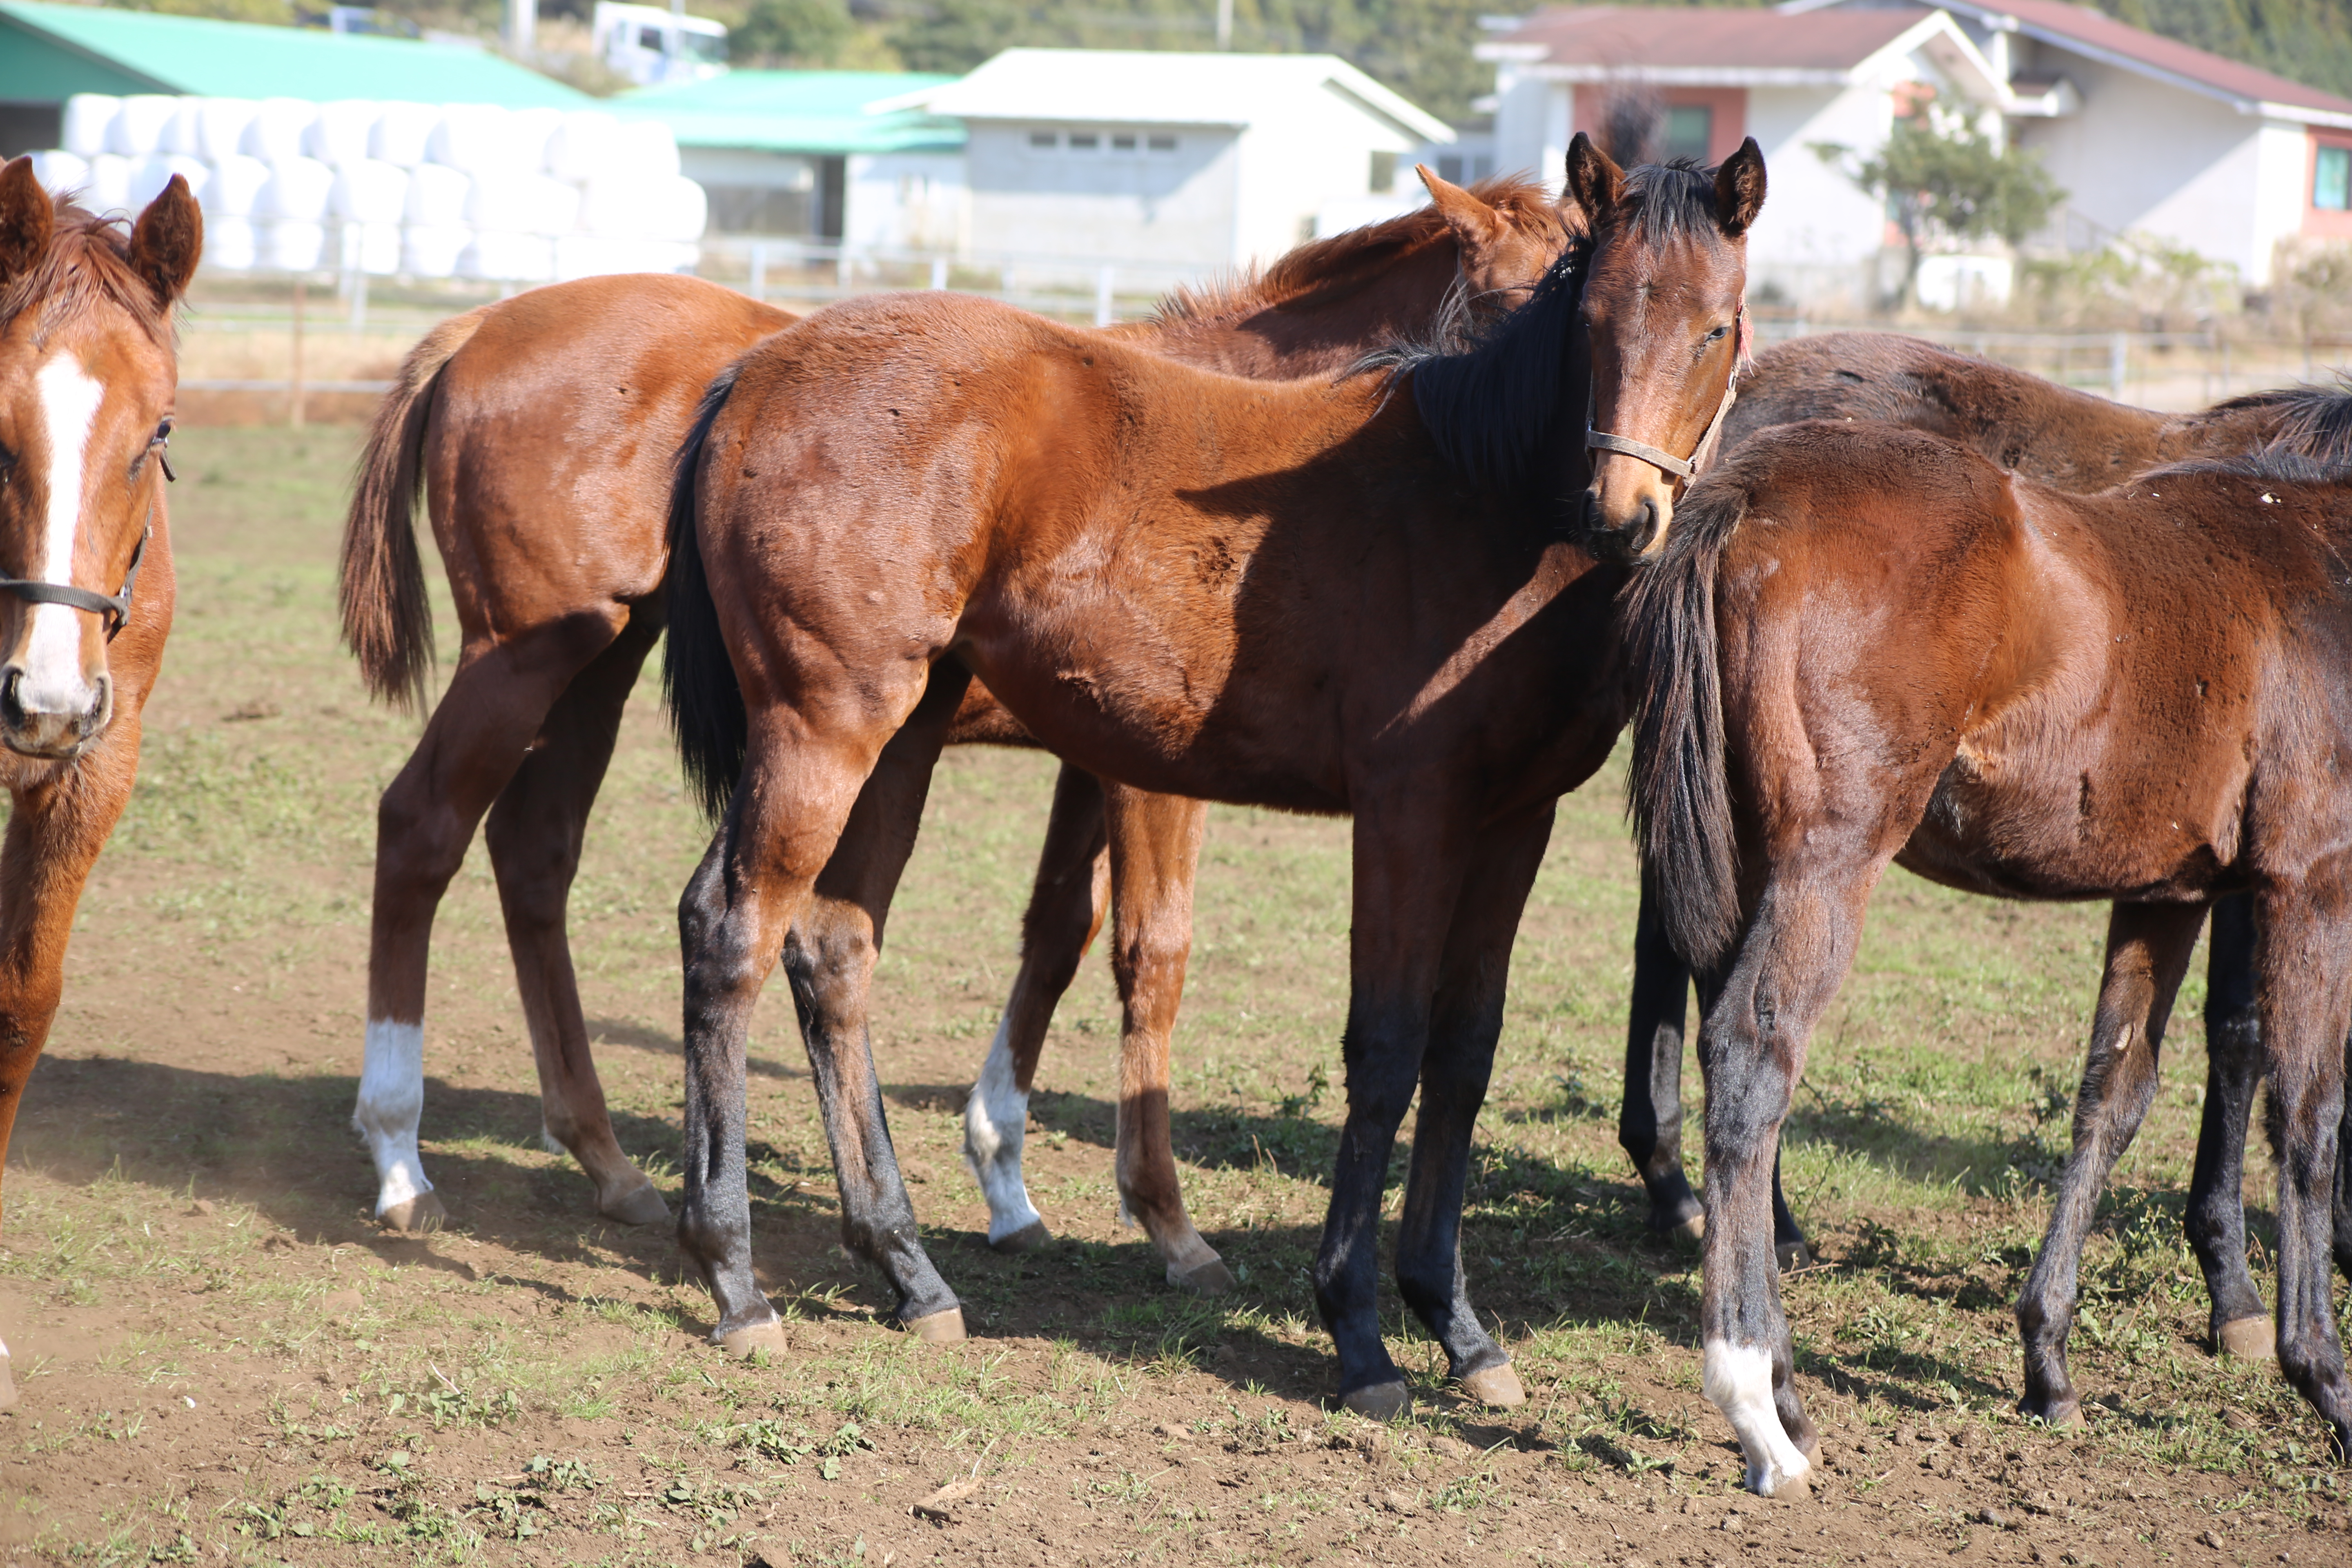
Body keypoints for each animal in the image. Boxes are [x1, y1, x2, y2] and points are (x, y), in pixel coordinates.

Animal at [336, 172, 1580, 1278]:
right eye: (1514, 307)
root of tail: (478, 328)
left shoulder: (1094, 752)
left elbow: (1058, 932)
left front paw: (1006, 1175)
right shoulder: (1153, 775)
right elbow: (1152, 950)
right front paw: (1166, 1223)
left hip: (600, 662)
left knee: (533, 853)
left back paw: (605, 1160)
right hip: (529, 655)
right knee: (424, 827)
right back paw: (399, 1157)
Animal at [663, 138, 1768, 1410]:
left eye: (1718, 326)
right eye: (1586, 318)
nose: (1620, 515)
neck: (1477, 499)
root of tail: (755, 370)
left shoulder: (1512, 821)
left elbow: (1462, 1049)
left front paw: (1458, 1326)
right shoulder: (1402, 813)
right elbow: (1379, 1046)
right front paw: (1357, 1333)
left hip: (897, 732)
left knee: (832, 947)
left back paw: (907, 1269)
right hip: (824, 726)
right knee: (731, 928)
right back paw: (735, 1279)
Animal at [1627, 421, 2352, 1495]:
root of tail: (1750, 491)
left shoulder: (2166, 895)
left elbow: (2112, 1095)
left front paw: (2046, 1360)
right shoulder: (2310, 882)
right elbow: (2305, 1111)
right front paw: (2325, 1378)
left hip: (1753, 859)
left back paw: (1791, 1393)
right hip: (1827, 860)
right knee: (1751, 1060)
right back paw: (1755, 1408)